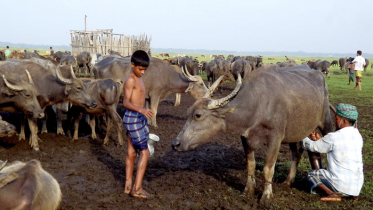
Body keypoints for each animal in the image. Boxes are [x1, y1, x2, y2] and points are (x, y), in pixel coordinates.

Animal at [171, 64, 332, 205]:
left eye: (198, 115)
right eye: (188, 112)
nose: (175, 144)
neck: (258, 105)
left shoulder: (275, 138)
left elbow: (268, 169)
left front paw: (266, 196)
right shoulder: (245, 138)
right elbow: (250, 165)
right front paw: (248, 190)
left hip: (325, 121)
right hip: (294, 131)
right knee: (297, 152)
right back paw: (288, 181)